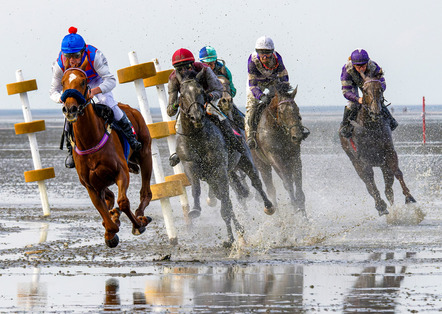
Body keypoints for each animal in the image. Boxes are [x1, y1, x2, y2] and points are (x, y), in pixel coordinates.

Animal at [60, 66, 154, 248]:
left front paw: (138, 224)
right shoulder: (90, 185)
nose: (70, 109)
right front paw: (110, 230)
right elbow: (103, 212)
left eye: (83, 82)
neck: (90, 140)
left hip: (145, 153)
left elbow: (123, 202)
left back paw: (141, 215)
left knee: (146, 193)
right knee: (109, 197)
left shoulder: (121, 172)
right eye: (62, 83)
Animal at [252, 84, 308, 217]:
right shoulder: (275, 157)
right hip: (262, 165)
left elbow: (297, 181)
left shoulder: (294, 156)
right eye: (281, 112)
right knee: (271, 189)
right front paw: (295, 205)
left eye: (297, 109)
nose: (297, 136)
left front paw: (303, 215)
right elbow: (287, 183)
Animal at [340, 75, 416, 216]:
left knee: (388, 188)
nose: (375, 112)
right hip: (355, 161)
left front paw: (409, 197)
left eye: (380, 89)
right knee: (368, 183)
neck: (371, 127)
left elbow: (397, 172)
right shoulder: (363, 160)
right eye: (364, 90)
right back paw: (381, 205)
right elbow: (370, 182)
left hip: (383, 165)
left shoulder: (389, 152)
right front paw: (380, 205)